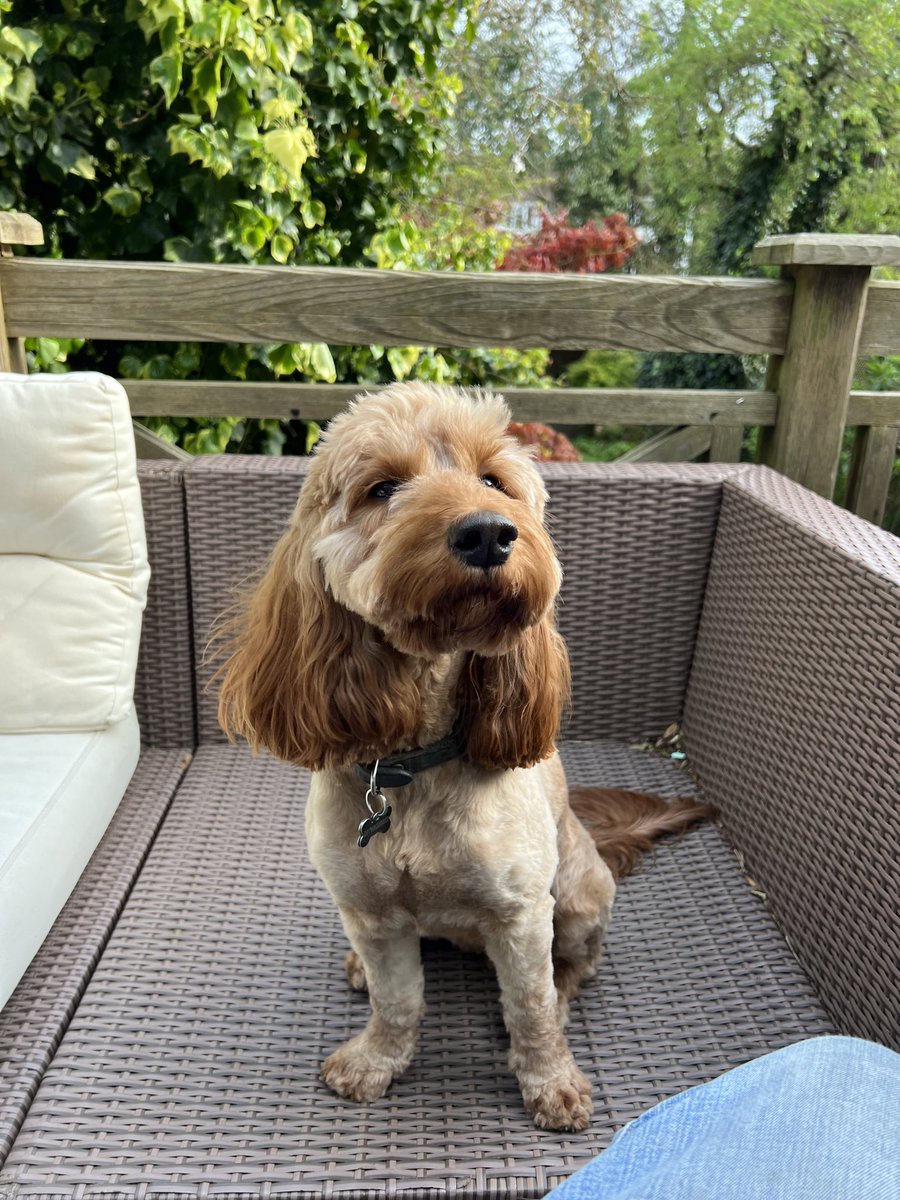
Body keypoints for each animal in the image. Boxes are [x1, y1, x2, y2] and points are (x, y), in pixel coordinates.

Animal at [218, 384, 710, 1132]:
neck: (414, 763)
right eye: (382, 488)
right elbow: (398, 1000)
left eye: (494, 481)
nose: (486, 533)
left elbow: (530, 1007)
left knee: (577, 967)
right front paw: (376, 1059)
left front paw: (550, 1081)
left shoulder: (522, 914)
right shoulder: (369, 910)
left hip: (581, 895)